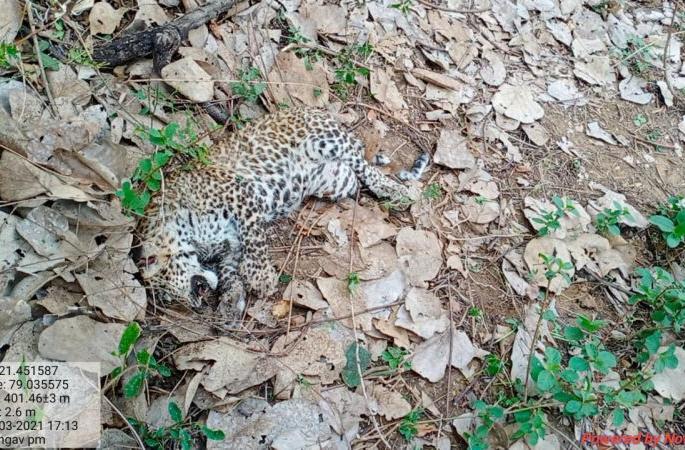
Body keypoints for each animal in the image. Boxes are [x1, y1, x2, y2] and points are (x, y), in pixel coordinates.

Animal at [136, 107, 428, 318]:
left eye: (168, 292)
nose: (194, 305)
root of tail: (316, 111)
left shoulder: (243, 196)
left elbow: (254, 241)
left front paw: (261, 277)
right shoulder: (231, 247)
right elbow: (230, 273)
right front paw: (231, 301)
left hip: (329, 141)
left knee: (366, 168)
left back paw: (395, 190)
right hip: (335, 182)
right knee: (356, 177)